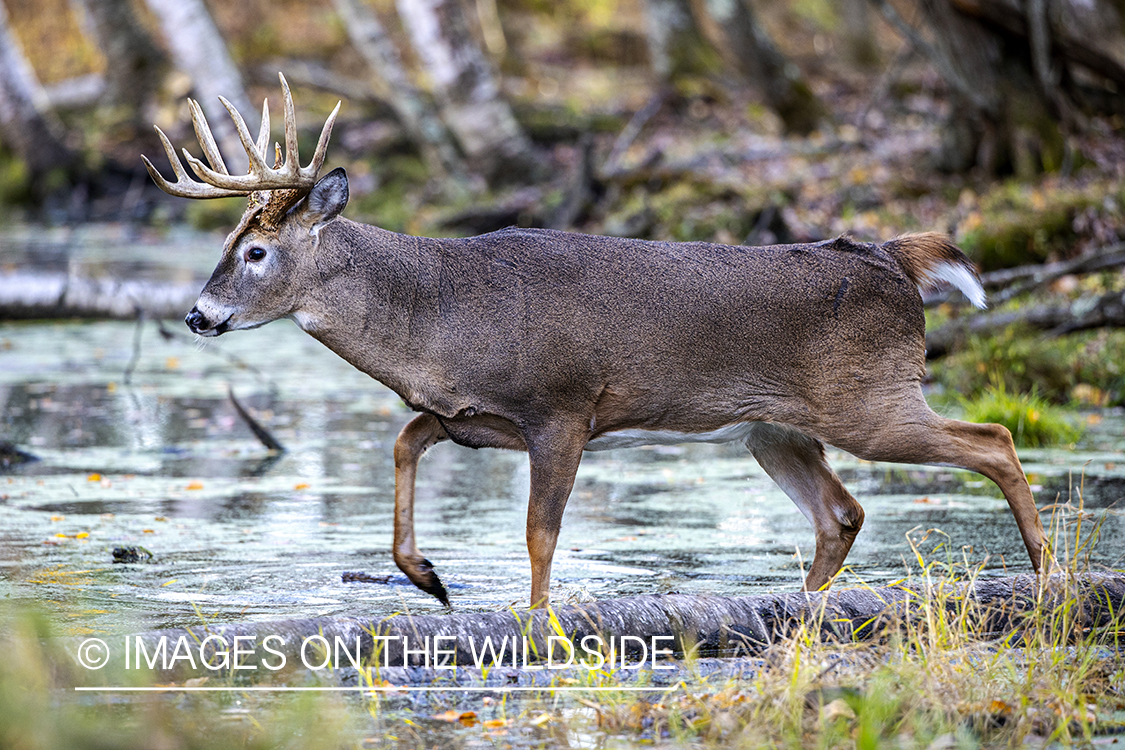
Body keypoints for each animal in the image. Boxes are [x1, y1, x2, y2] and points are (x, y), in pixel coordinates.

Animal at [147, 74, 1053, 611]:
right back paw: (799, 611)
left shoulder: (563, 406)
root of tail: (893, 257)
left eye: (255, 253)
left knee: (993, 439)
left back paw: (1046, 573)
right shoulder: (472, 417)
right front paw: (428, 578)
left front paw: (536, 620)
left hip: (868, 397)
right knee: (843, 512)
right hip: (774, 428)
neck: (437, 312)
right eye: (227, 243)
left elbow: (538, 533)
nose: (196, 315)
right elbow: (403, 442)